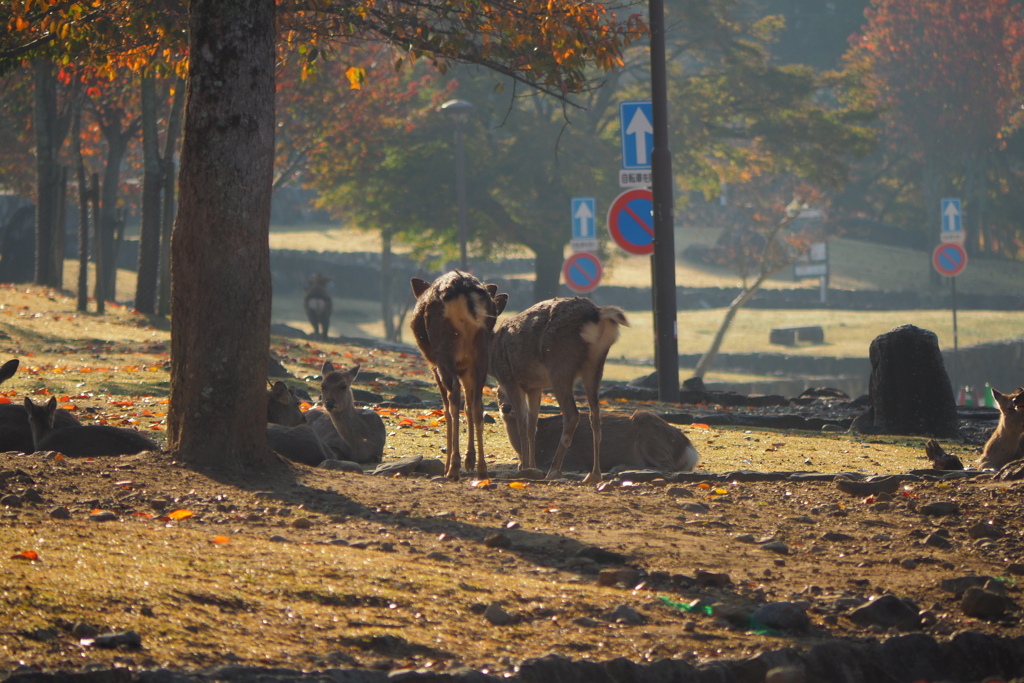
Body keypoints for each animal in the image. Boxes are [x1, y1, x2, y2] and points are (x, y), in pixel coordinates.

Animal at [405, 272, 505, 481]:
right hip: (481, 352)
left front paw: (449, 465)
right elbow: (469, 407)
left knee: (453, 399)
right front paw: (470, 460)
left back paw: (453, 468)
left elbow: (446, 408)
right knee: (477, 404)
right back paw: (481, 469)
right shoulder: (466, 368)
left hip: (444, 351)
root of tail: (466, 292)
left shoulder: (435, 365)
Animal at [491, 296, 626, 483]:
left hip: (560, 365)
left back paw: (554, 470)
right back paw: (594, 474)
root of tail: (597, 313)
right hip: (595, 366)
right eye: (497, 394)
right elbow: (532, 426)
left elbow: (523, 425)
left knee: (572, 414)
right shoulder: (534, 387)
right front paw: (532, 467)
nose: (505, 407)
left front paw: (524, 468)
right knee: (595, 415)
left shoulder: (511, 379)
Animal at [497, 387, 704, 473]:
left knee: (668, 467)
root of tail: (688, 448)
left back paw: (619, 467)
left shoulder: (572, 458)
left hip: (651, 435)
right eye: (499, 392)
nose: (506, 407)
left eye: (522, 393)